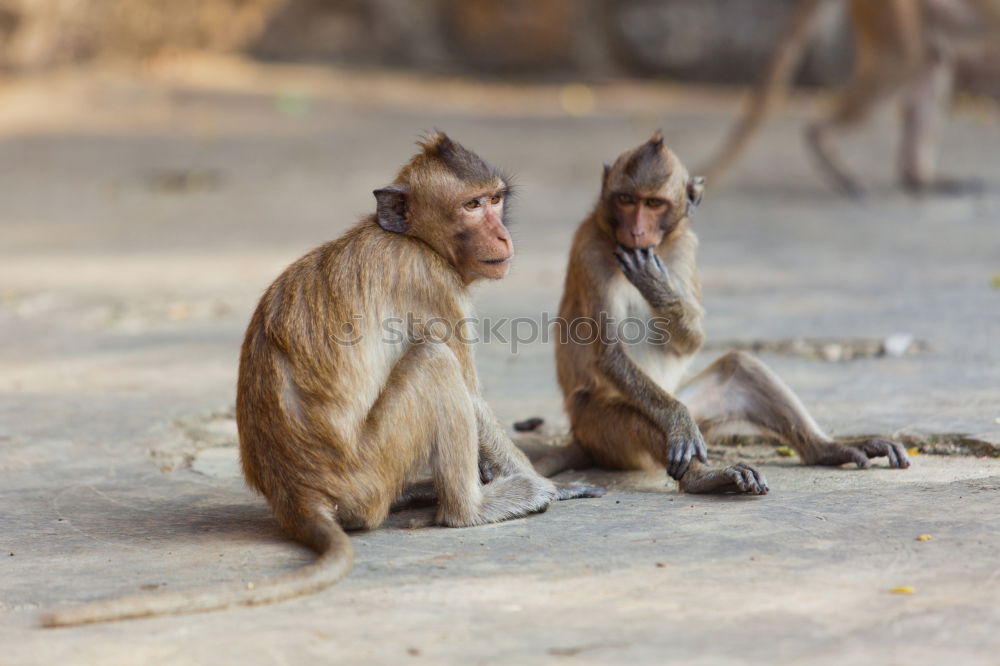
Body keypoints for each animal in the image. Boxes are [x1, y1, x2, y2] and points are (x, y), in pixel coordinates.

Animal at [41, 132, 600, 624]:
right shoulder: (430, 280)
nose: (502, 234)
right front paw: (547, 484)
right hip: (367, 469)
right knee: (434, 360)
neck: (410, 238)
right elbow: (471, 392)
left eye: (496, 200)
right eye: (471, 205)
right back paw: (470, 509)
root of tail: (296, 495)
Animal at [536, 132, 912, 490]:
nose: (636, 230)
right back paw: (704, 476)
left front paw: (654, 283)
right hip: (600, 429)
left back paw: (828, 450)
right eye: (626, 200)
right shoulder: (589, 250)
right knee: (642, 417)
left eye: (653, 203)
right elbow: (611, 354)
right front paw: (678, 423)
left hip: (698, 410)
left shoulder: (685, 248)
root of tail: (580, 438)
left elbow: (693, 341)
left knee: (741, 367)